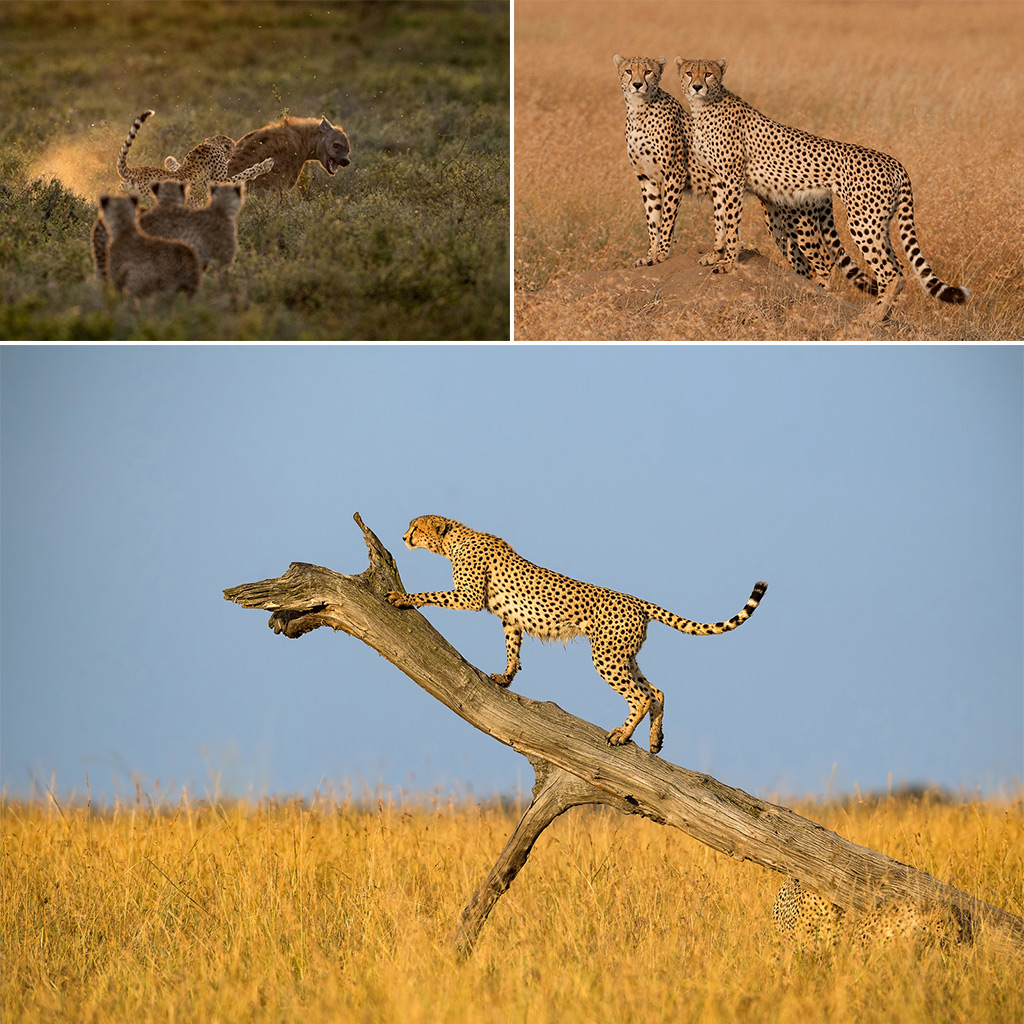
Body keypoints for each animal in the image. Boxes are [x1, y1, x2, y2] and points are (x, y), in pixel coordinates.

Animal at [385, 520, 770, 753]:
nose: (403, 537)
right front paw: (505, 677)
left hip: (607, 656)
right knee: (655, 691)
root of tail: (637, 600)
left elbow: (431, 594)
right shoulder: (510, 619)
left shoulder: (469, 597)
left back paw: (621, 734)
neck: (454, 538)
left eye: (415, 527)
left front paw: (402, 597)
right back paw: (654, 740)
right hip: (623, 655)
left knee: (640, 696)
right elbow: (513, 648)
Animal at [610, 54, 876, 296]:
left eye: (647, 72)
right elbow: (652, 219)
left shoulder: (674, 174)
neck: (640, 109)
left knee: (823, 260)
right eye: (628, 71)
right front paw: (650, 256)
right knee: (802, 264)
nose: (637, 84)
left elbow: (666, 219)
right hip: (778, 225)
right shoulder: (647, 179)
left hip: (799, 221)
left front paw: (663, 253)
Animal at [671, 58, 966, 317]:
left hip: (860, 222)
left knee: (885, 272)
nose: (697, 86)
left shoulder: (732, 178)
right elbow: (720, 220)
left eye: (709, 74)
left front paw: (728, 262)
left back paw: (868, 316)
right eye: (689, 73)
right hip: (876, 223)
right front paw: (715, 254)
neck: (703, 107)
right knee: (899, 269)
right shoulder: (719, 180)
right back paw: (883, 316)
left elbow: (731, 222)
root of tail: (894, 162)